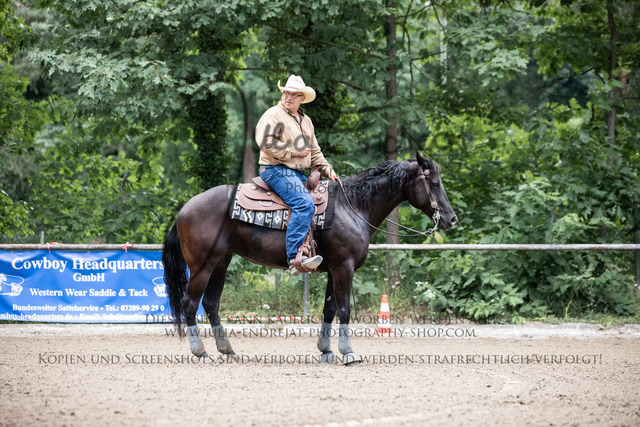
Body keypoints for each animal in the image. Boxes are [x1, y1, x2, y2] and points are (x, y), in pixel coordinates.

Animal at [162, 152, 457, 365]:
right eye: (434, 183)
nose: (452, 219)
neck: (353, 206)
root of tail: (185, 208)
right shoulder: (344, 268)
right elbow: (344, 310)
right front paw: (348, 352)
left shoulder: (334, 269)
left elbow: (329, 309)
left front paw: (326, 351)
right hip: (202, 265)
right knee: (190, 303)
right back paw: (200, 352)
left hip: (221, 262)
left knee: (211, 304)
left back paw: (226, 349)